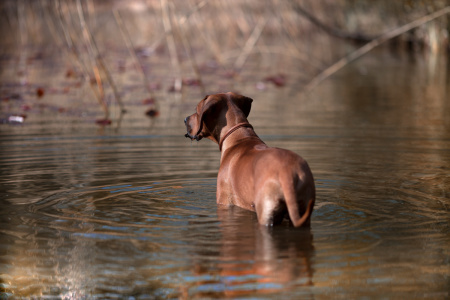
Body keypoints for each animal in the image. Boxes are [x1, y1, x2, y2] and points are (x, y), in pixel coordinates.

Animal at [185, 92, 314, 227]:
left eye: (197, 111)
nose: (185, 119)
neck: (239, 137)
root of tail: (286, 173)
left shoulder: (224, 201)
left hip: (266, 211)